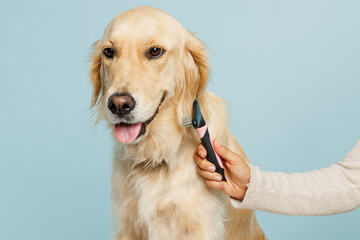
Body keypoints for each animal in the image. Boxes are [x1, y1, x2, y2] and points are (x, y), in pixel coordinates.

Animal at [90, 5, 264, 240]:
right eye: (109, 52)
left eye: (155, 51)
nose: (118, 105)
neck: (160, 151)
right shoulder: (127, 226)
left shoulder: (197, 227)